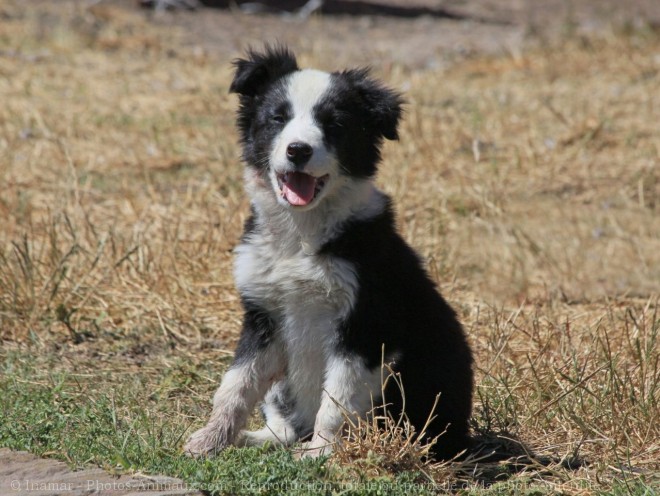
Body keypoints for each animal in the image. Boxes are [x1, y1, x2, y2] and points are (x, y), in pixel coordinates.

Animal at [184, 46, 474, 462]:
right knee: (284, 424)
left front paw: (320, 455)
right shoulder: (263, 314)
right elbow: (236, 383)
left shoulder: (364, 324)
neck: (301, 231)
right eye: (278, 118)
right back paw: (255, 440)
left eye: (334, 124)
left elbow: (337, 399)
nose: (298, 150)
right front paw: (211, 439)